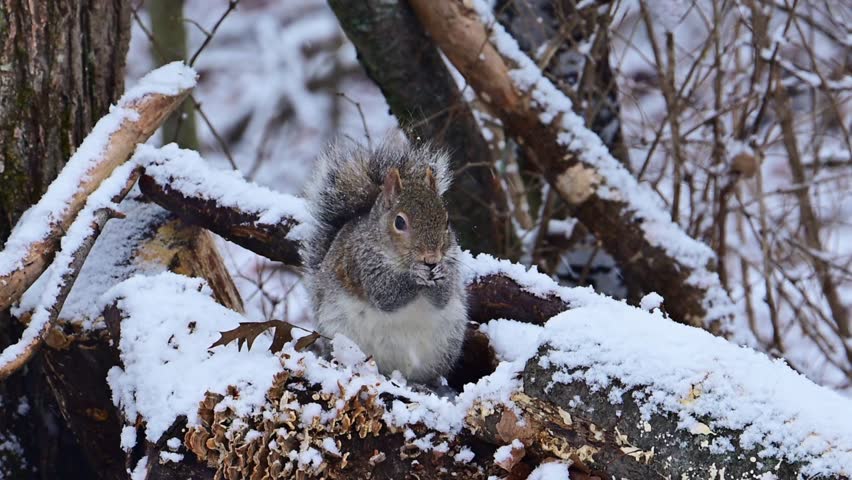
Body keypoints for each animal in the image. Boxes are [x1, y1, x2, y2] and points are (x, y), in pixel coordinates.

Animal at [303, 136, 468, 383]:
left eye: (446, 221)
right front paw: (414, 276)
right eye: (399, 222)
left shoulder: (453, 260)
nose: (431, 258)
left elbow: (444, 297)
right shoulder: (360, 261)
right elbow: (385, 294)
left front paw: (442, 275)